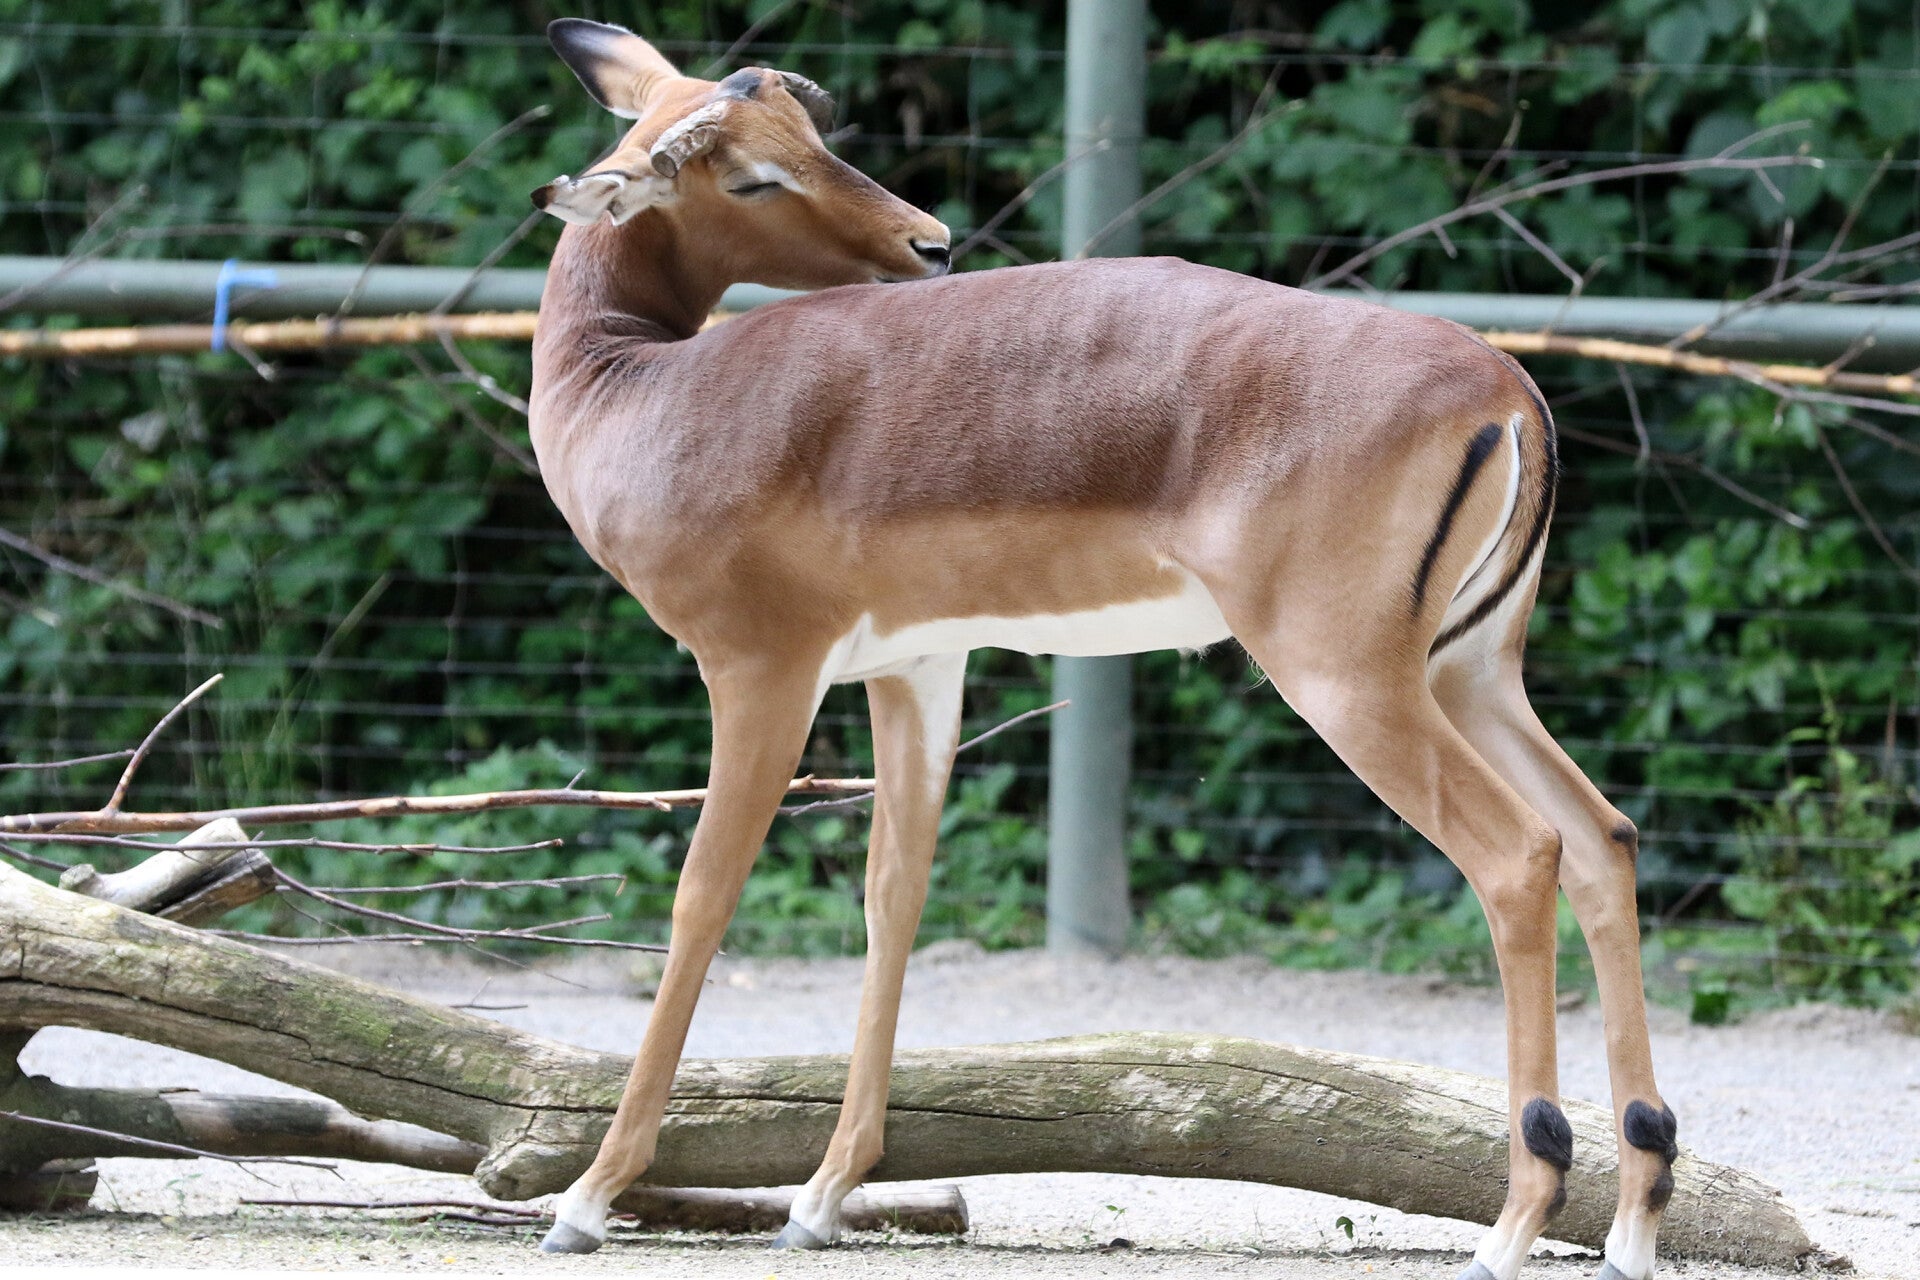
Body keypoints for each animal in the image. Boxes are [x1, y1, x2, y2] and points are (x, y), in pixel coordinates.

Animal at [523, 19, 1677, 1280]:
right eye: (752, 171)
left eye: (804, 143)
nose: (929, 242)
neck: (630, 388)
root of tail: (1507, 387)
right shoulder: (914, 669)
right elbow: (894, 894)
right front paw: (822, 1194)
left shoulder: (760, 670)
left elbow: (700, 899)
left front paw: (588, 1194)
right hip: (1468, 675)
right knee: (1603, 836)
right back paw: (1632, 1218)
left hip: (1349, 684)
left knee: (1520, 854)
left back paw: (1515, 1222)